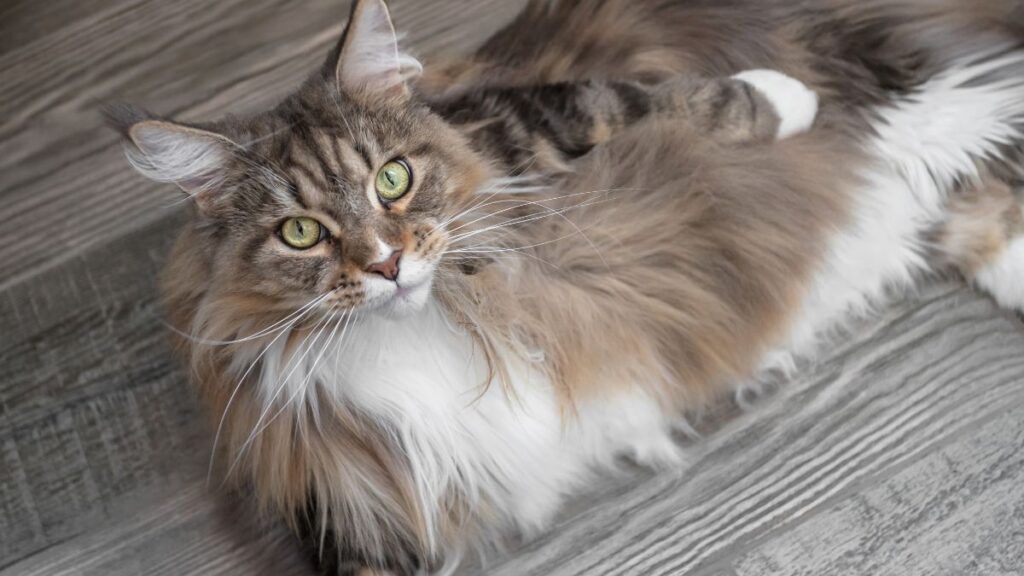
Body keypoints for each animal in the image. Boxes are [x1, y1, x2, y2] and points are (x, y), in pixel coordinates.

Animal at [108, 1, 1024, 573]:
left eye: (393, 179)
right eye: (300, 232)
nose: (387, 265)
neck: (410, 324)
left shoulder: (520, 122)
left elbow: (657, 98)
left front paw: (778, 98)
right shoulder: (353, 509)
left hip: (903, 99)